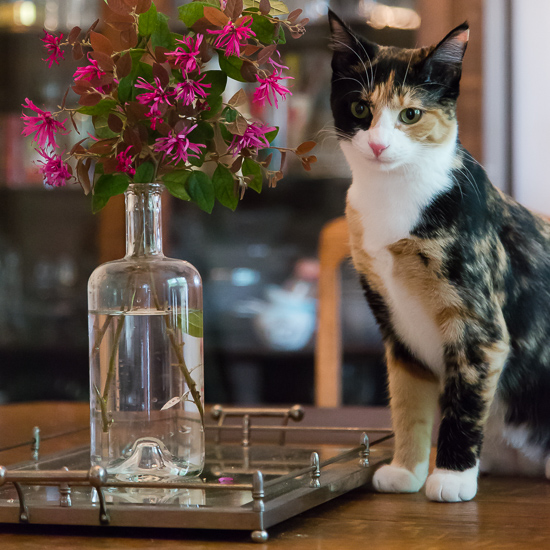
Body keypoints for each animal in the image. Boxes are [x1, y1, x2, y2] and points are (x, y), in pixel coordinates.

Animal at [330, 10, 550, 504]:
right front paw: (405, 471)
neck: (394, 198)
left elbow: (462, 405)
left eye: (411, 114)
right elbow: (407, 405)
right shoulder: (397, 331)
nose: (378, 145)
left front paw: (451, 476)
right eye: (360, 109)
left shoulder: (478, 328)